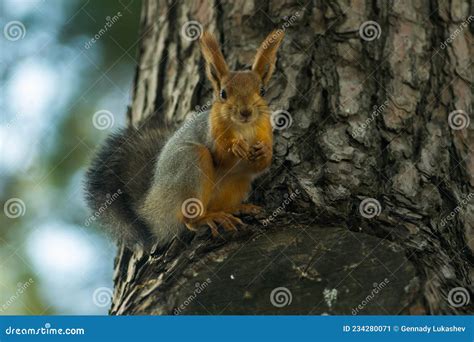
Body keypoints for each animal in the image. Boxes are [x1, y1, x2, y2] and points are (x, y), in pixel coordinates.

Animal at [84, 30, 286, 250]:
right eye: (223, 93)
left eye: (262, 91)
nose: (246, 112)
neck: (244, 128)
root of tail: (152, 210)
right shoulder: (210, 132)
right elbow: (221, 157)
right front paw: (236, 146)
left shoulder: (264, 132)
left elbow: (259, 166)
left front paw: (265, 152)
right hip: (189, 164)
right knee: (188, 219)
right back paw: (207, 218)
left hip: (238, 183)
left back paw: (235, 209)